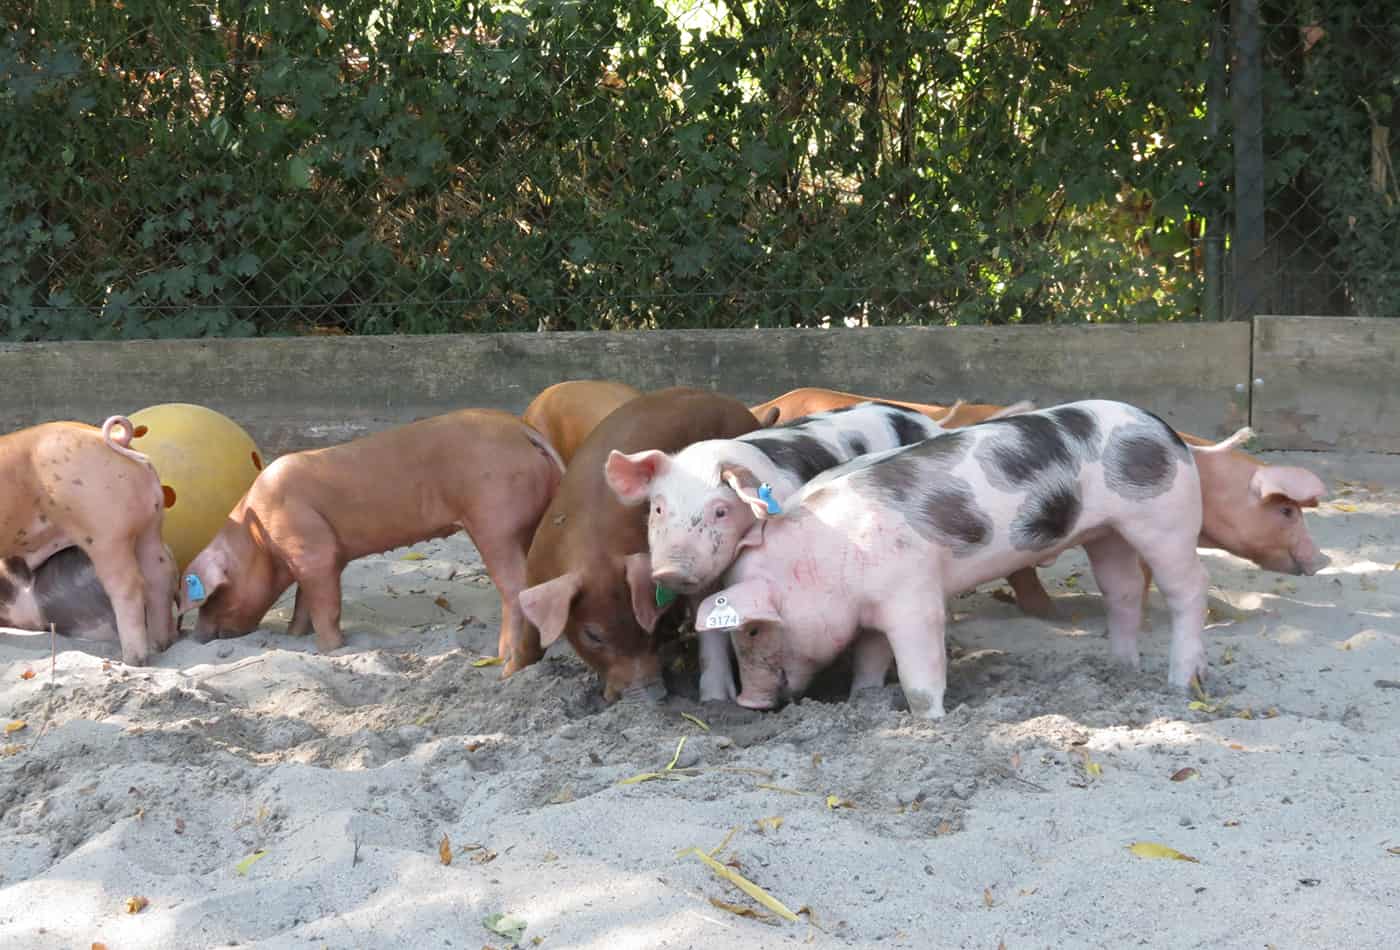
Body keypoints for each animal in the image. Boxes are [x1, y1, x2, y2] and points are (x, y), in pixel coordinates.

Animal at [694, 397, 1254, 716]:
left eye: (753, 629)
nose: (747, 700)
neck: (826, 556)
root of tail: (1169, 434)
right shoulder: (873, 609)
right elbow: (871, 657)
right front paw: (864, 703)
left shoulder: (915, 599)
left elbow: (920, 675)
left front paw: (929, 721)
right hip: (1106, 533)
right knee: (1123, 590)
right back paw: (1120, 671)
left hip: (1165, 518)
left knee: (1189, 589)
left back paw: (1181, 683)